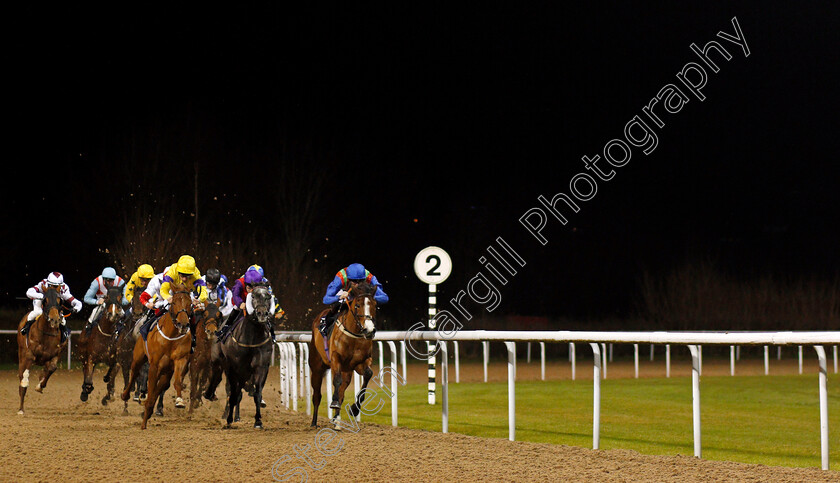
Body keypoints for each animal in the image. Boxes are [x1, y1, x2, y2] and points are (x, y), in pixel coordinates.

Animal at [16, 288, 69, 416]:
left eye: (60, 300)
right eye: (45, 300)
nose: (55, 320)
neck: (46, 334)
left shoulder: (55, 354)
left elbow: (52, 368)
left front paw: (40, 385)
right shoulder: (29, 356)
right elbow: (25, 379)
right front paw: (21, 409)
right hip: (21, 354)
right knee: (21, 378)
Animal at [121, 282, 194, 430]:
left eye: (189, 303)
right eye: (174, 302)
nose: (183, 324)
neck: (171, 336)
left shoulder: (180, 360)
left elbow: (176, 382)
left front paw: (179, 401)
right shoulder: (154, 365)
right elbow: (149, 385)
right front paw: (144, 421)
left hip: (166, 371)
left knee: (161, 385)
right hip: (138, 357)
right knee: (134, 373)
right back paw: (126, 395)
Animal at [203, 286, 272, 430]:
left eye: (268, 296)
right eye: (253, 296)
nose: (262, 313)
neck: (252, 337)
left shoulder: (261, 366)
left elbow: (257, 393)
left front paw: (258, 421)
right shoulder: (234, 368)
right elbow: (233, 393)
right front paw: (229, 419)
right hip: (218, 361)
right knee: (217, 377)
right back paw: (209, 394)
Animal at [308, 284, 378, 428]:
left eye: (374, 305)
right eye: (357, 305)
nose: (369, 330)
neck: (353, 337)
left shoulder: (361, 362)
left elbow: (368, 374)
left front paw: (355, 409)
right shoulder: (336, 359)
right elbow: (336, 380)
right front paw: (334, 403)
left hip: (347, 371)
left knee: (341, 392)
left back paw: (337, 421)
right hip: (317, 368)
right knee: (317, 395)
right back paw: (314, 422)